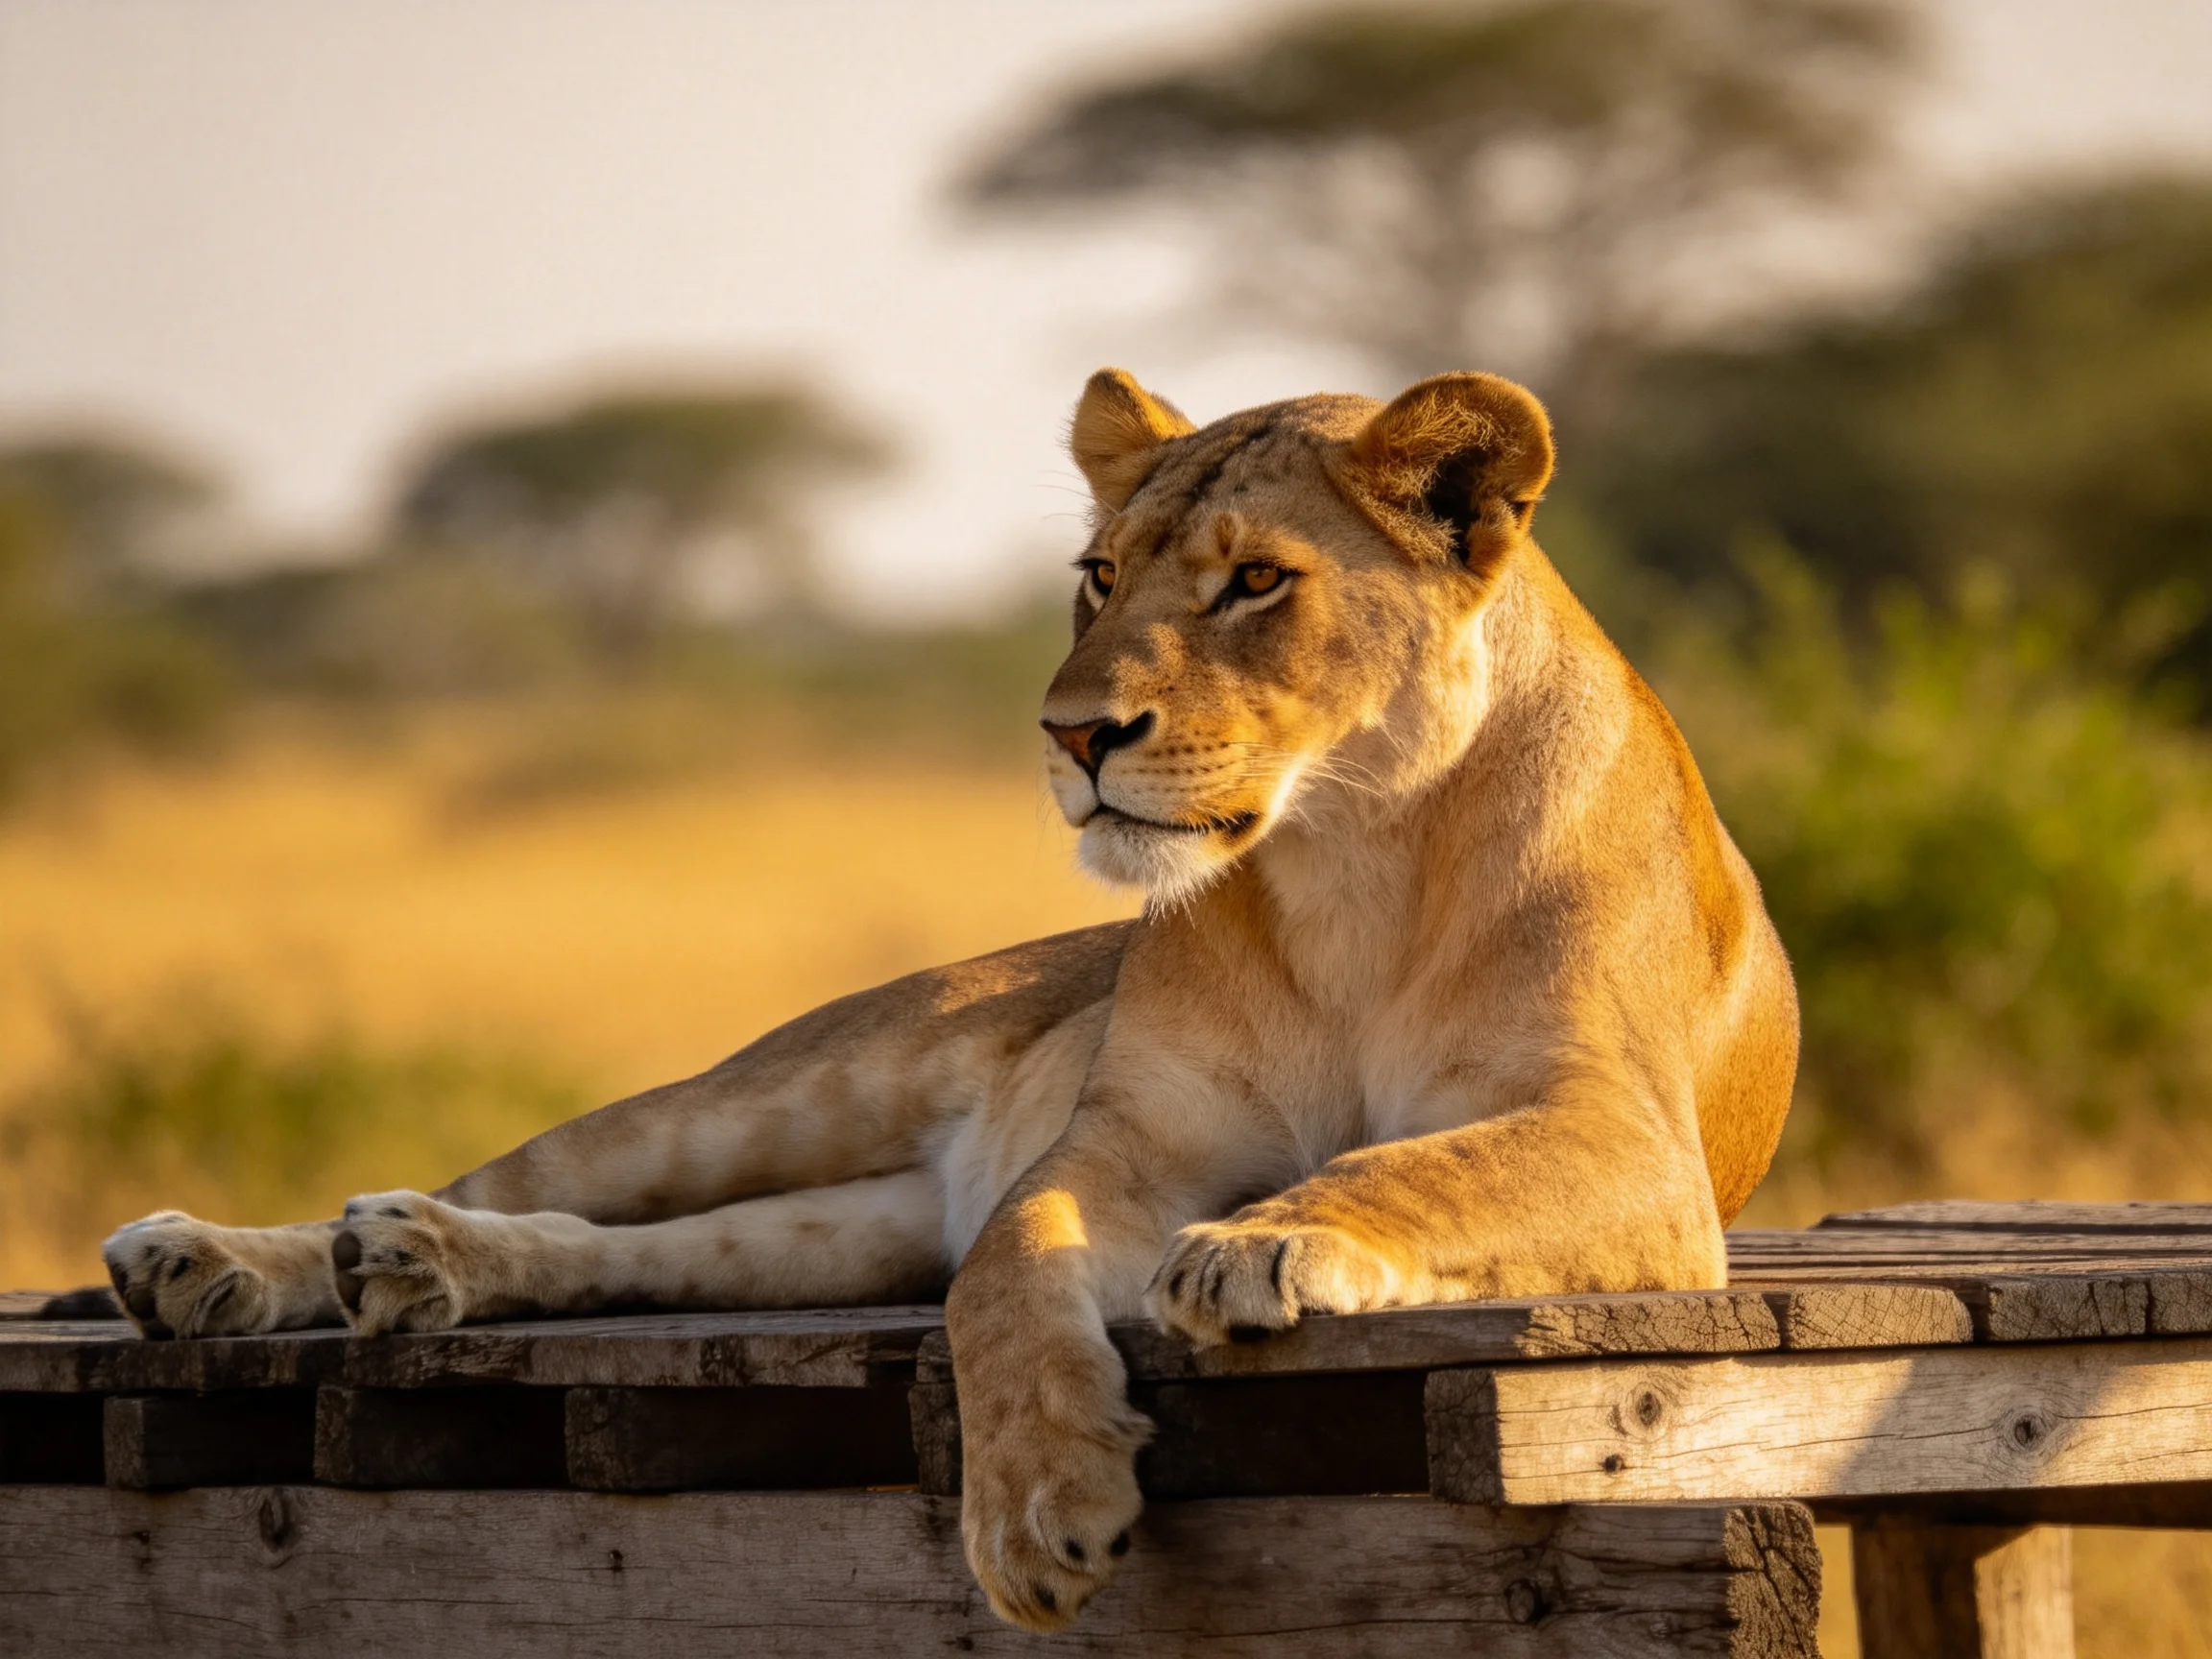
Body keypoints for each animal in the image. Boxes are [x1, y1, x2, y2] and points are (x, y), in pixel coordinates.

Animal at [99, 368, 1798, 1632]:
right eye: (1099, 578)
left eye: (1257, 580)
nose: (1074, 734)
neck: (1349, 864)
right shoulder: (1118, 1147)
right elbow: (1006, 1277)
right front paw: (1041, 1509)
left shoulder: (1632, 1147)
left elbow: (1425, 1163)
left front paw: (1264, 1243)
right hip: (784, 1092)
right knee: (538, 1179)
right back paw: (231, 1258)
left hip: (848, 1226)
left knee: (619, 1248)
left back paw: (417, 1267)